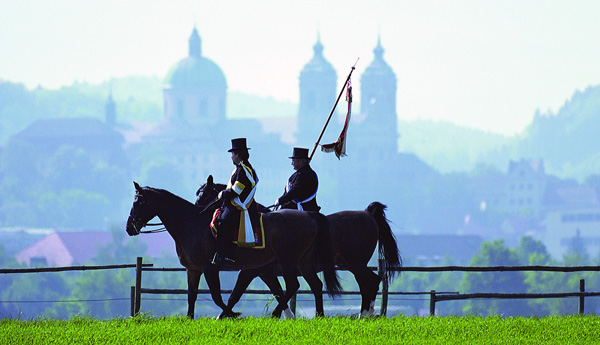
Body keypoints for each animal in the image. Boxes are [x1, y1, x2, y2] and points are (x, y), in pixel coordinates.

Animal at [125, 181, 342, 318]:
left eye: (139, 202)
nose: (129, 227)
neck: (191, 225)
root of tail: (310, 216)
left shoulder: (213, 268)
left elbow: (220, 296)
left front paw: (231, 315)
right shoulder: (194, 270)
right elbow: (192, 296)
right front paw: (190, 318)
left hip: (288, 261)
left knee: (293, 285)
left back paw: (276, 314)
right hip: (302, 263)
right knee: (315, 285)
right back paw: (318, 315)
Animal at [198, 176, 404, 316]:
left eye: (202, 194)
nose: (199, 210)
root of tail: (367, 213)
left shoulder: (254, 270)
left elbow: (240, 294)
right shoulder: (266, 273)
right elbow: (279, 293)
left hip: (355, 263)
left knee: (370, 282)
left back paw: (366, 314)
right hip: (345, 265)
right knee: (362, 284)